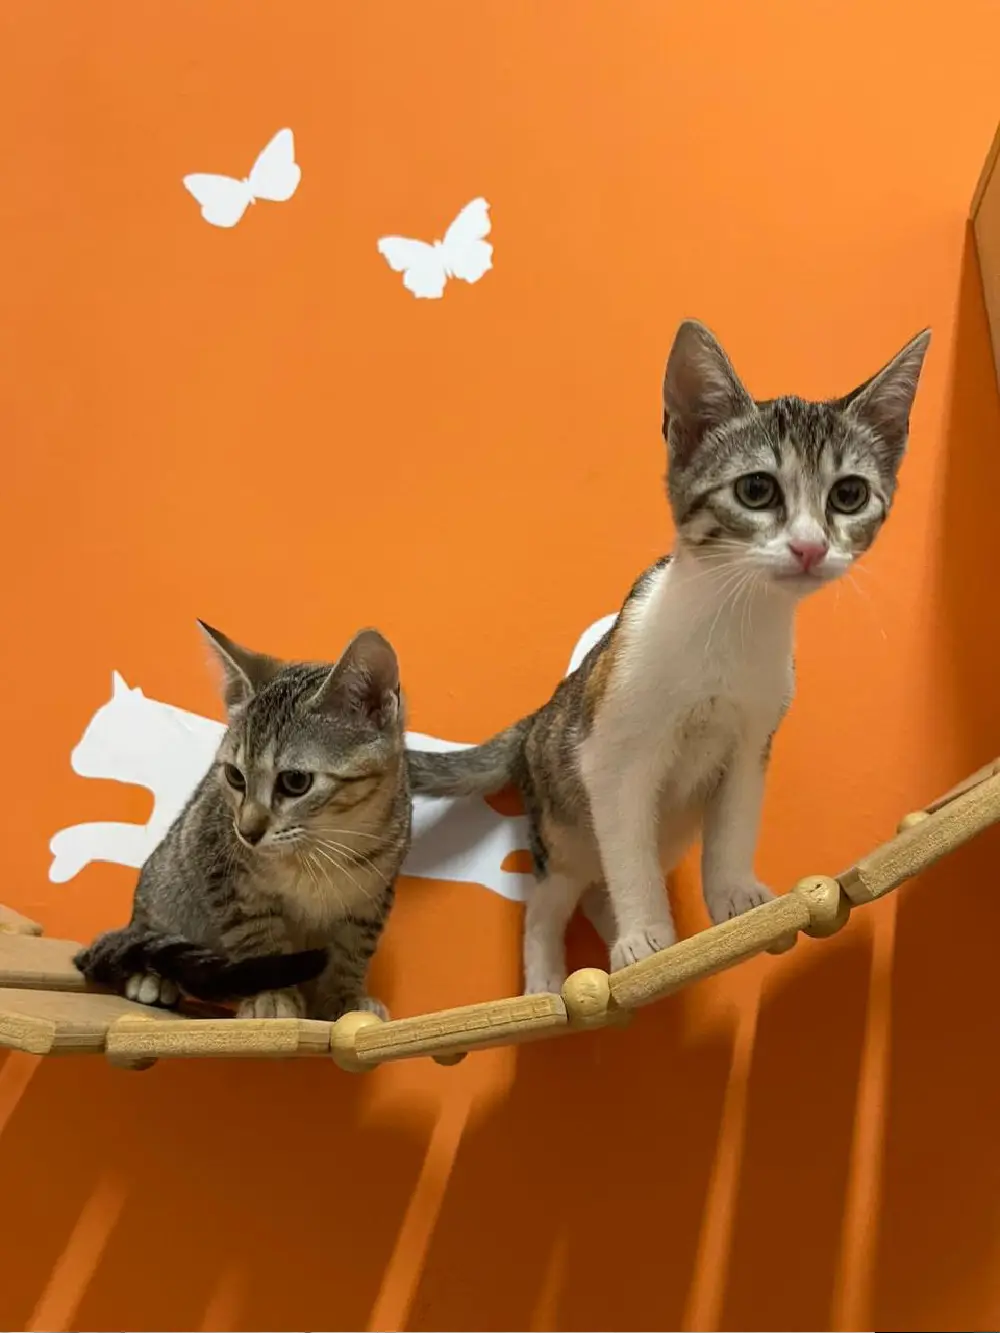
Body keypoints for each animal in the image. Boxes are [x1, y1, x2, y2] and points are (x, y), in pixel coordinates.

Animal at [75, 623, 410, 1020]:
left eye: (295, 781)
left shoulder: (372, 897)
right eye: (235, 776)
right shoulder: (227, 875)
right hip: (166, 884)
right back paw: (150, 975)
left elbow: (353, 951)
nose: (248, 831)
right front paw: (273, 993)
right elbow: (256, 936)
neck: (323, 847)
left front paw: (345, 995)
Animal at [408, 318, 931, 995]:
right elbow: (626, 853)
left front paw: (735, 898)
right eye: (757, 489)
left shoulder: (751, 744)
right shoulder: (612, 758)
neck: (732, 626)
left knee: (601, 885)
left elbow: (733, 827)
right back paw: (550, 979)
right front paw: (643, 937)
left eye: (848, 495)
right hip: (561, 827)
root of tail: (536, 719)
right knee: (551, 900)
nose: (811, 548)